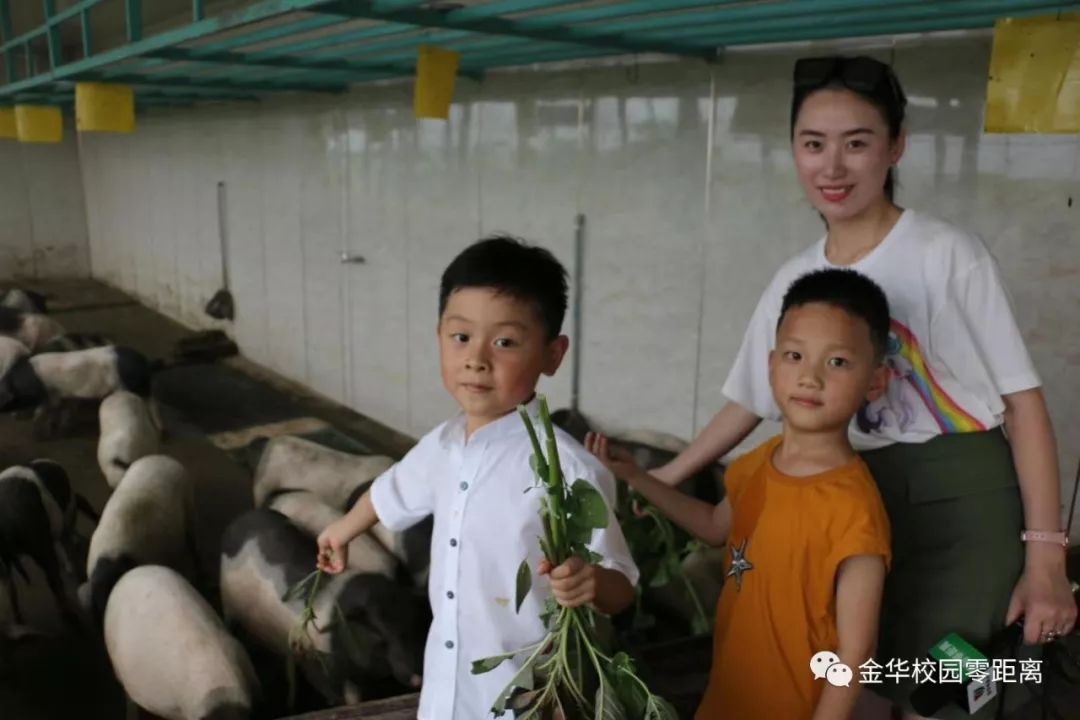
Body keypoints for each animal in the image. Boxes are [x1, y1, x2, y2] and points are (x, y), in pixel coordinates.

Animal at [218, 509, 425, 708]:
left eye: (412, 624)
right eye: (379, 633)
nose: (417, 678)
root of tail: (235, 523)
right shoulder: (323, 663)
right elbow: (344, 696)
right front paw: (338, 703)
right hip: (228, 600)